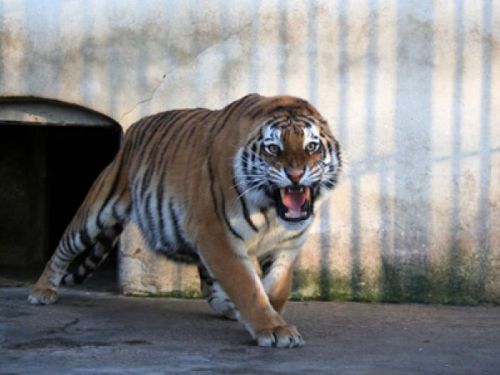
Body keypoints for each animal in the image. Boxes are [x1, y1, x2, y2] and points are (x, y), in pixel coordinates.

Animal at [26, 94, 340, 350]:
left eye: (311, 146)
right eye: (273, 149)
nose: (296, 175)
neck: (273, 212)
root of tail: (132, 131)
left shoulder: (285, 247)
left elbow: (275, 288)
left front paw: (269, 315)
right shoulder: (217, 234)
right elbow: (247, 286)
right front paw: (274, 329)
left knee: (208, 283)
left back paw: (228, 307)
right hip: (98, 207)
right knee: (64, 248)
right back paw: (42, 291)